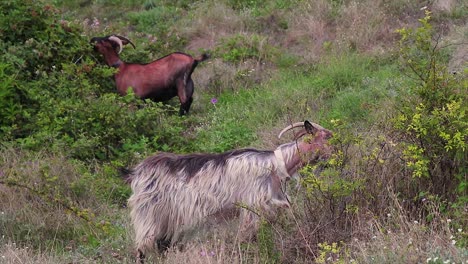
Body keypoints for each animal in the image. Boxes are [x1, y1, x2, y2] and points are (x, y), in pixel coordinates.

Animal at [127, 120, 332, 260]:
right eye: (326, 137)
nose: (334, 157)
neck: (276, 165)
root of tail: (136, 173)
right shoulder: (253, 206)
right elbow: (247, 236)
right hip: (149, 215)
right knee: (142, 248)